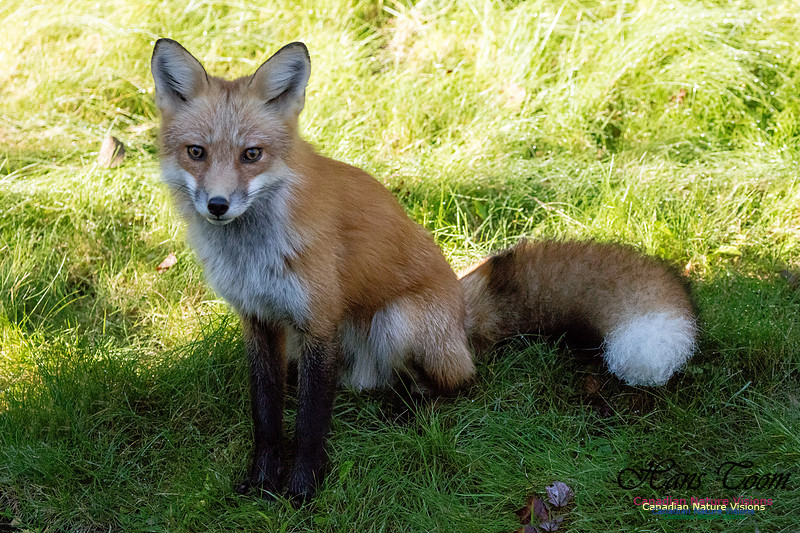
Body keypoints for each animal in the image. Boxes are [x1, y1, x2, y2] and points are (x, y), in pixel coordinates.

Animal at [150, 39, 697, 502]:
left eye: (252, 155)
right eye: (196, 153)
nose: (217, 206)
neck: (253, 253)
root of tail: (460, 309)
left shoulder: (319, 321)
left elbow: (308, 422)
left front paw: (303, 489)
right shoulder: (261, 322)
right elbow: (266, 415)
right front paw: (263, 481)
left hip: (399, 321)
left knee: (459, 382)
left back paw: (412, 412)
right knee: (371, 384)